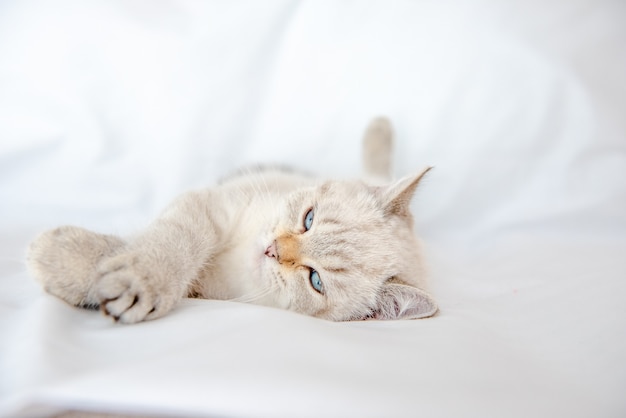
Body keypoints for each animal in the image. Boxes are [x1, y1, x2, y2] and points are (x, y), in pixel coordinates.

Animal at [26, 117, 436, 324]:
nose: (273, 249)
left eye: (315, 280)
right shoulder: (211, 205)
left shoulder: (202, 289)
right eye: (309, 219)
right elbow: (171, 239)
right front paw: (77, 260)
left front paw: (58, 260)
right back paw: (380, 126)